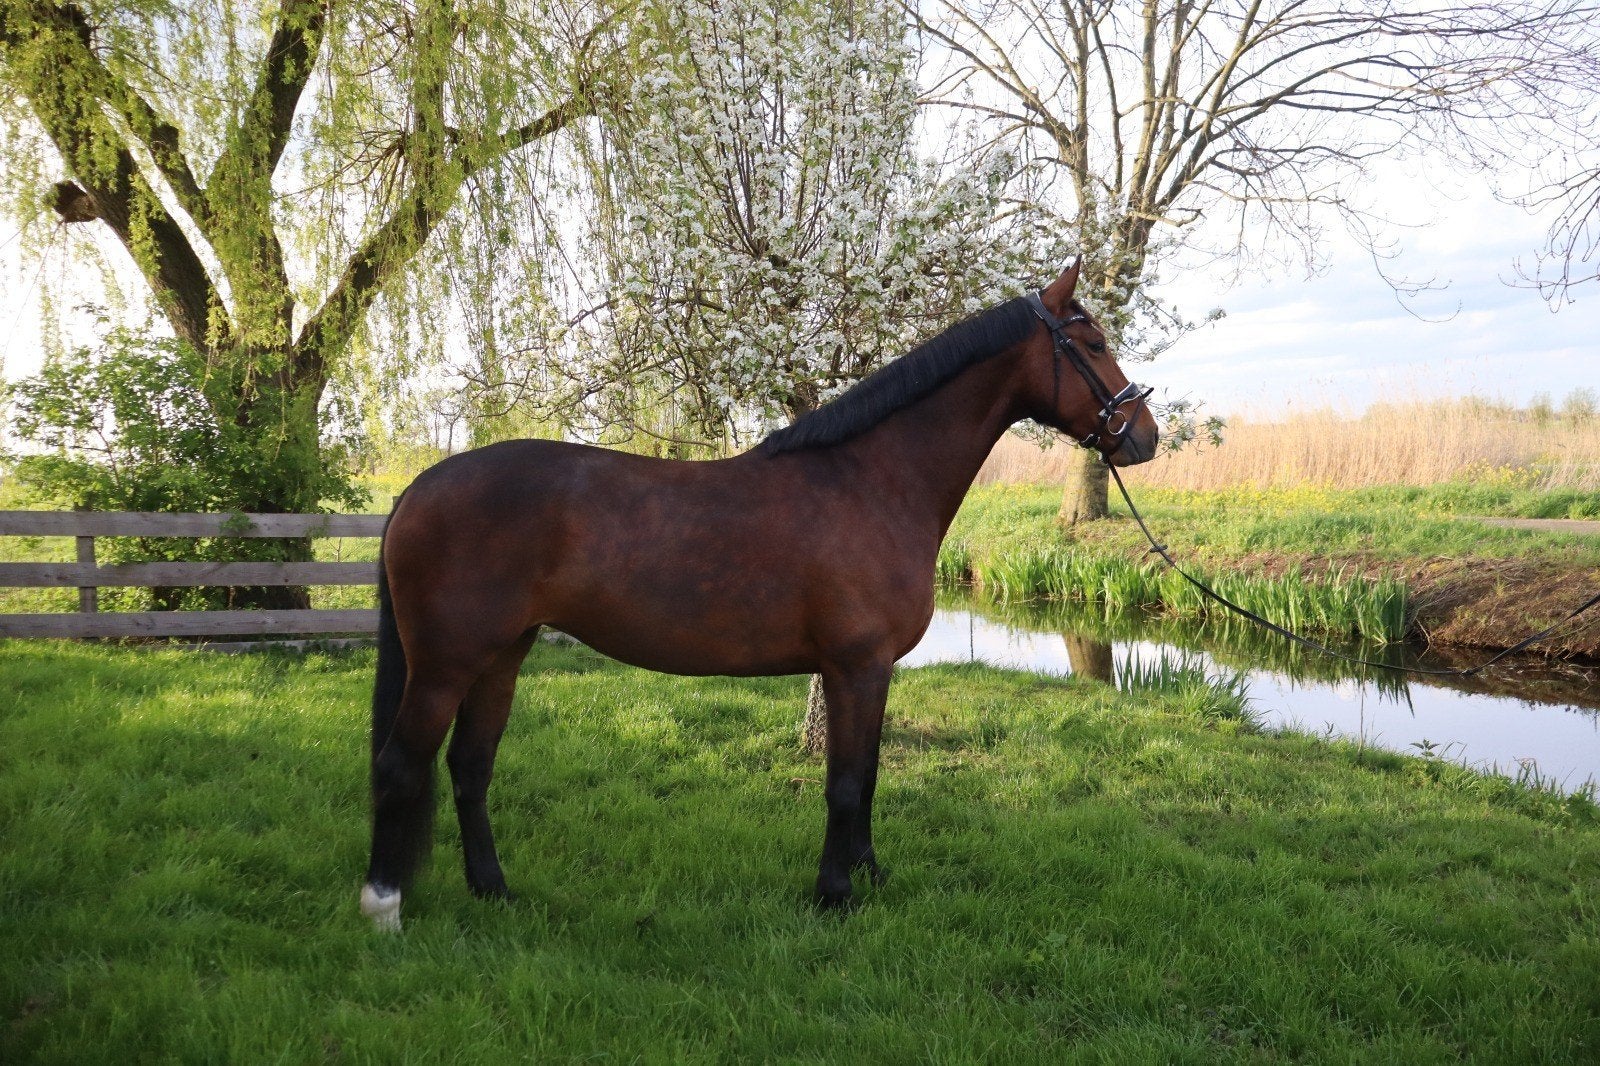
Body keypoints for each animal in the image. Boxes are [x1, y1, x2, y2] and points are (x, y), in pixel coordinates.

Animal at [361, 260, 1160, 931]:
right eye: (1092, 342)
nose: (1144, 435)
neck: (872, 481)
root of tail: (418, 489)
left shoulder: (873, 672)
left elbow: (870, 775)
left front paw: (869, 877)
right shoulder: (855, 667)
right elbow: (845, 783)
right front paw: (834, 895)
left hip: (501, 656)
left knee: (470, 766)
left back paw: (493, 889)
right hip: (445, 664)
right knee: (402, 765)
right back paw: (384, 908)